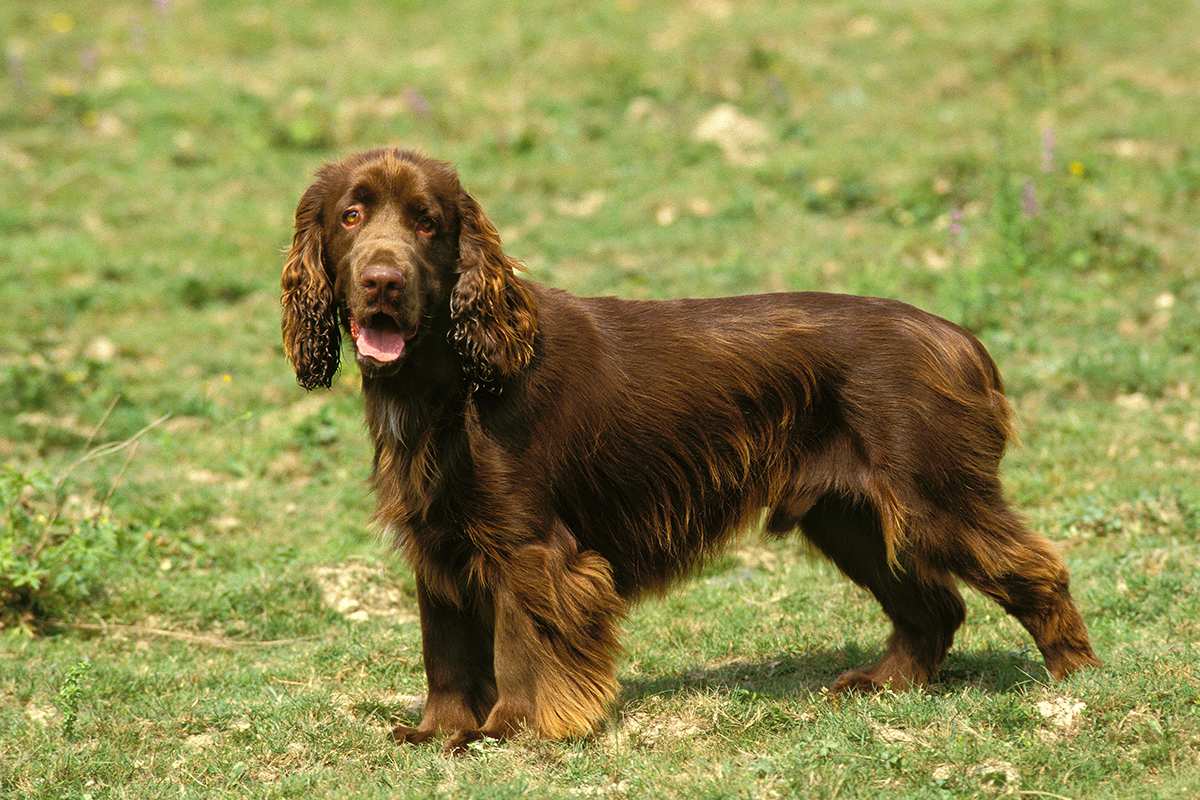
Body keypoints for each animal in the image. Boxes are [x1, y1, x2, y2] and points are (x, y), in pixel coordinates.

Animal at [278, 148, 1099, 753]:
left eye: (427, 223)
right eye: (352, 215)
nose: (383, 281)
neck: (454, 378)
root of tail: (962, 342)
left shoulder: (529, 547)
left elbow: (519, 644)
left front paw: (510, 730)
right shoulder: (438, 538)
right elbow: (445, 648)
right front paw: (437, 732)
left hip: (934, 498)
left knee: (1036, 570)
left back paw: (1076, 679)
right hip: (850, 516)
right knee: (933, 605)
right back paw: (881, 682)